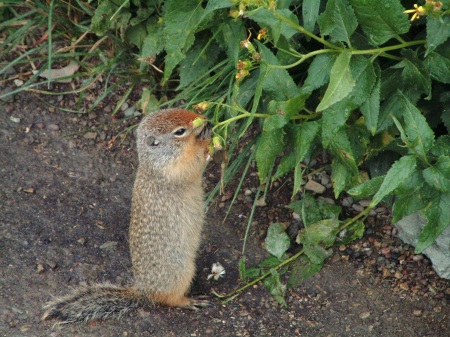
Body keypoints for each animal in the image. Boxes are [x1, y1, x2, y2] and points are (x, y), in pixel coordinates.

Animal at [43, 107, 212, 322]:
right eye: (180, 131)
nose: (205, 120)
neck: (154, 160)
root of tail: (143, 291)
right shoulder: (174, 168)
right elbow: (193, 162)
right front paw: (206, 142)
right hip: (181, 272)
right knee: (169, 299)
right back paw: (189, 301)